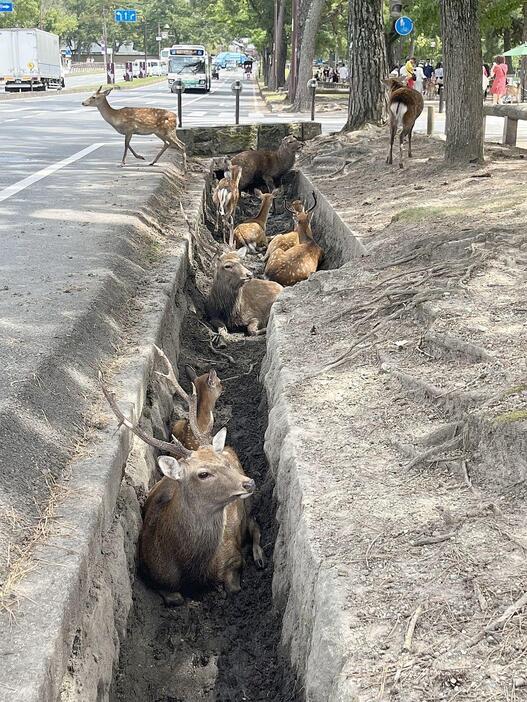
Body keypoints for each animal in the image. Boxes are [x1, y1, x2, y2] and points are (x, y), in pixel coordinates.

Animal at [99, 360, 264, 608]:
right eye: (203, 474)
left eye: (225, 463)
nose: (249, 483)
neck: (192, 569)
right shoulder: (150, 569)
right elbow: (175, 598)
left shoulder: (233, 558)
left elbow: (233, 588)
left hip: (247, 506)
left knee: (254, 523)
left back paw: (260, 557)